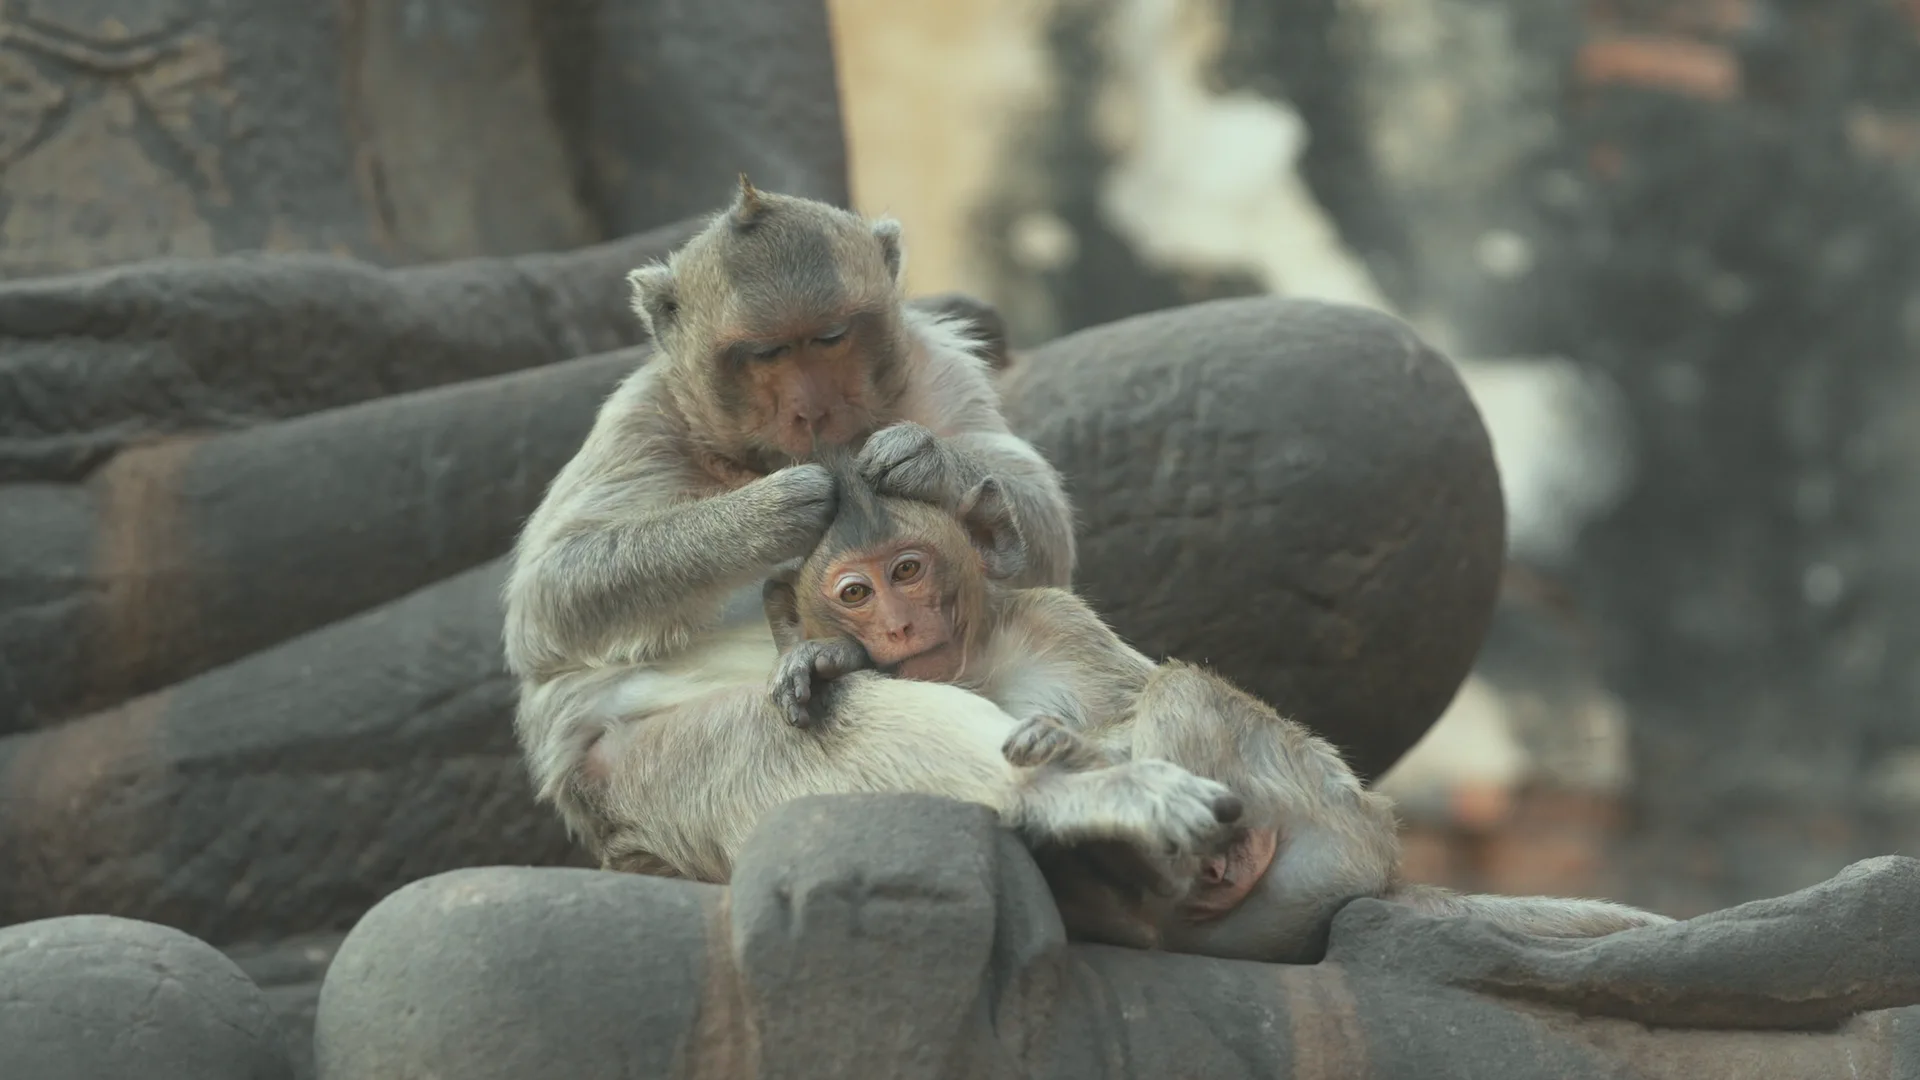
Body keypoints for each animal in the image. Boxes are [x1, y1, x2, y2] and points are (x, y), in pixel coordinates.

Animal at [503, 177, 1243, 887]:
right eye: (766, 353)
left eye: (830, 338)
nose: (811, 408)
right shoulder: (643, 419)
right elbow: (552, 598)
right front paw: (775, 508)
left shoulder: (939, 366)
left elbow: (1046, 543)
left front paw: (927, 462)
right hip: (647, 779)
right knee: (809, 722)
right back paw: (1079, 794)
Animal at [761, 463, 1676, 963]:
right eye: (856, 591)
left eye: (908, 569)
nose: (896, 625)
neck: (974, 654)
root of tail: (1384, 868)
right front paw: (829, 658)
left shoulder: (1056, 619)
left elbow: (1131, 693)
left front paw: (1075, 743)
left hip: (1332, 811)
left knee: (1185, 691)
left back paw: (1183, 856)